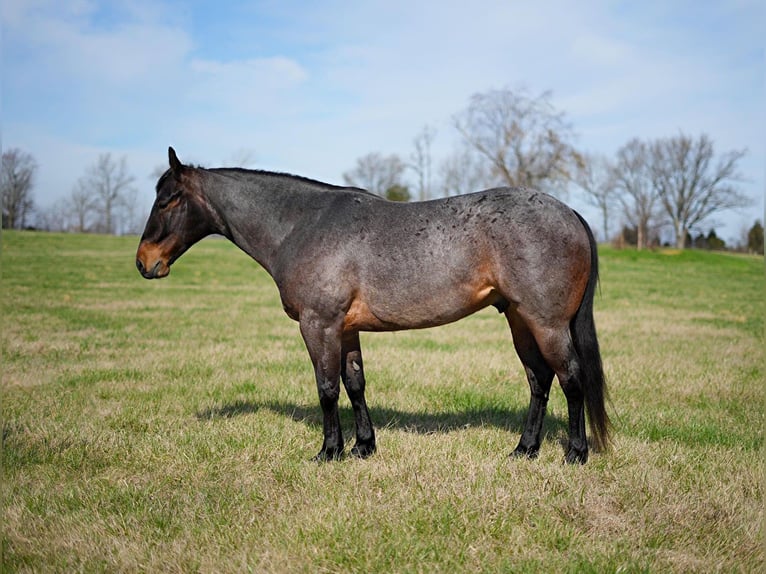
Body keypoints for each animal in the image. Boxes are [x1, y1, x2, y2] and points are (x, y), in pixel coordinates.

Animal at [136, 147, 612, 464]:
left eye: (168, 199)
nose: (144, 262)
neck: (301, 225)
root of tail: (570, 212)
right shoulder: (345, 328)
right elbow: (354, 384)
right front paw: (363, 447)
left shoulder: (319, 324)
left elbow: (327, 388)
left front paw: (329, 452)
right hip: (518, 319)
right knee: (539, 380)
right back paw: (524, 449)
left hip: (546, 322)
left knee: (570, 378)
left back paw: (575, 453)